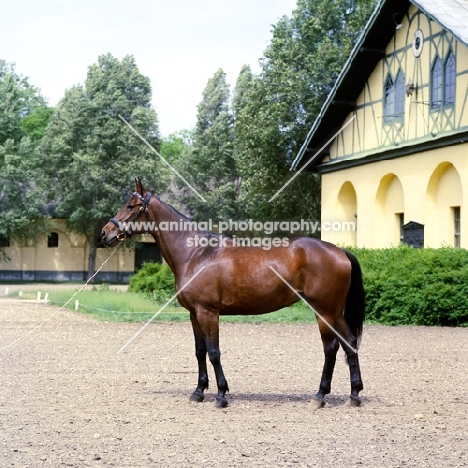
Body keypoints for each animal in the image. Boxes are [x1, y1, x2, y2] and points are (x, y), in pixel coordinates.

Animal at [101, 177, 366, 408]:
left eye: (130, 205)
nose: (105, 233)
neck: (197, 253)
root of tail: (339, 251)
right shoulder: (194, 314)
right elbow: (200, 351)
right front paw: (198, 392)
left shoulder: (208, 313)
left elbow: (214, 352)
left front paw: (221, 395)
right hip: (335, 312)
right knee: (350, 344)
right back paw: (354, 395)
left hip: (324, 311)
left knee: (331, 348)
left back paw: (320, 395)